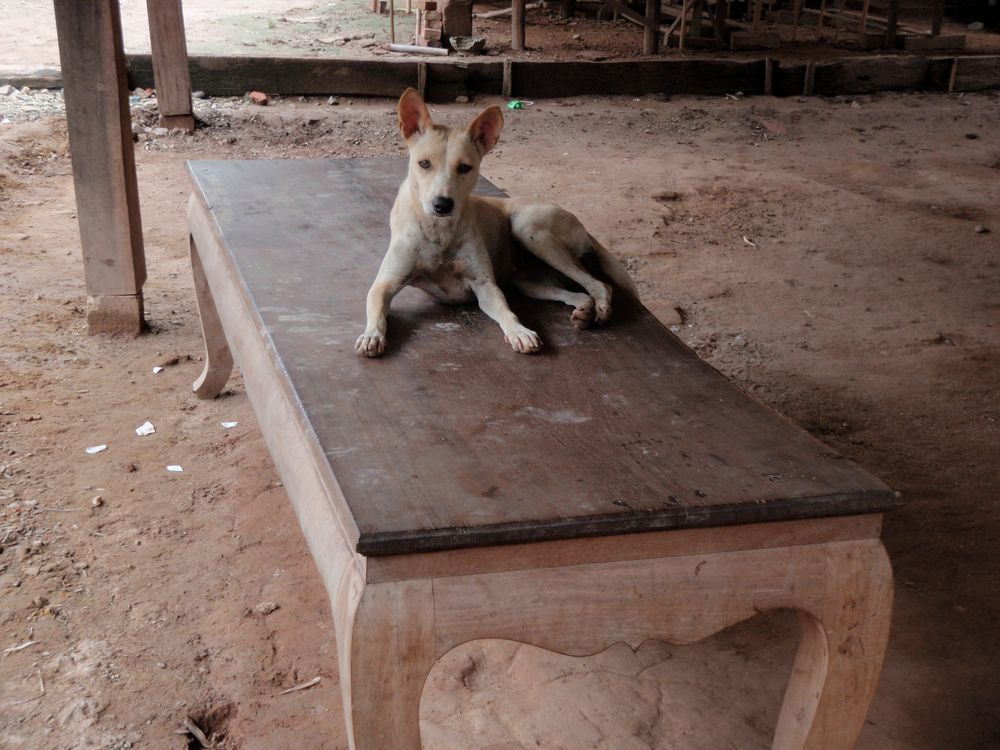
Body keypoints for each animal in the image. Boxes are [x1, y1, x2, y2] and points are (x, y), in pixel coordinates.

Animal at [358, 88, 640, 358]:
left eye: (465, 167)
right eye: (424, 163)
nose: (442, 205)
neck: (439, 231)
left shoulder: (485, 286)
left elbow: (507, 312)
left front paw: (520, 332)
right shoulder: (385, 283)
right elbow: (376, 307)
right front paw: (372, 335)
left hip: (530, 231)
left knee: (599, 284)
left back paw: (600, 309)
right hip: (529, 283)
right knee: (579, 293)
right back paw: (584, 311)